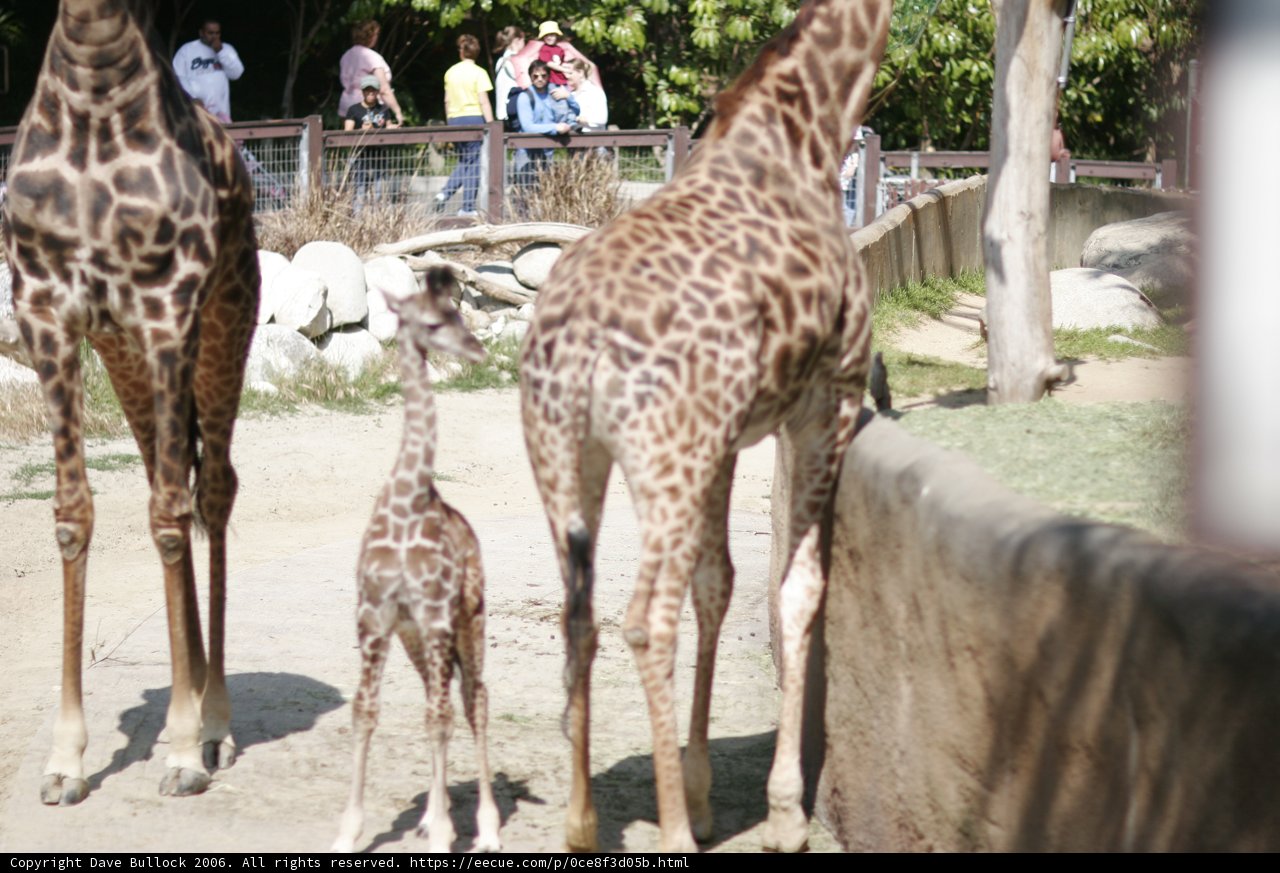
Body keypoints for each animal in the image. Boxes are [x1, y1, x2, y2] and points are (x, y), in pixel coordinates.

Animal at [2, 0, 259, 803]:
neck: (94, 85)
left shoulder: (166, 308)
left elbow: (171, 521)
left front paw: (180, 750)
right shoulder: (47, 313)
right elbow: (72, 513)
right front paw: (64, 760)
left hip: (224, 326)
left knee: (210, 489)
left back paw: (214, 723)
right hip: (125, 359)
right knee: (165, 478)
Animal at [332, 267, 501, 854]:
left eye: (457, 312)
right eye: (430, 322)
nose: (476, 350)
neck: (407, 502)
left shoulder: (433, 614)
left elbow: (442, 718)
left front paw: (449, 832)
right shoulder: (377, 616)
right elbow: (365, 712)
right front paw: (348, 832)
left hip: (468, 619)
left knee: (472, 698)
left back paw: (486, 828)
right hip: (417, 637)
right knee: (440, 695)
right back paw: (432, 815)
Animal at [519, 0, 892, 853]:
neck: (809, 123)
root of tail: (579, 337)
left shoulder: (726, 439)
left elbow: (716, 581)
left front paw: (700, 785)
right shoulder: (825, 401)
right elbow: (798, 588)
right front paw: (783, 812)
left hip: (567, 454)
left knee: (580, 610)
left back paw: (582, 822)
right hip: (665, 455)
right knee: (644, 620)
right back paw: (673, 836)